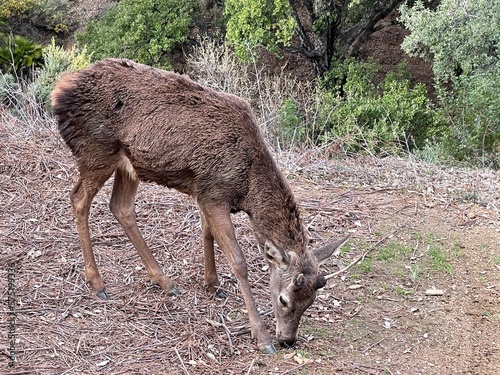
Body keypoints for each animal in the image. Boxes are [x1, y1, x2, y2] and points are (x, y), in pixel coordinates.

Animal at [50, 58, 348, 356]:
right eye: (284, 299)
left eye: (310, 302)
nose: (287, 340)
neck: (247, 187)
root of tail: (59, 91)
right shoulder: (215, 194)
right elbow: (238, 262)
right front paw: (262, 337)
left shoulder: (204, 192)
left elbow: (207, 233)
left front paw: (212, 285)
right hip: (97, 151)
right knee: (78, 199)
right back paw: (97, 283)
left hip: (129, 164)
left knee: (120, 207)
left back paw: (165, 282)